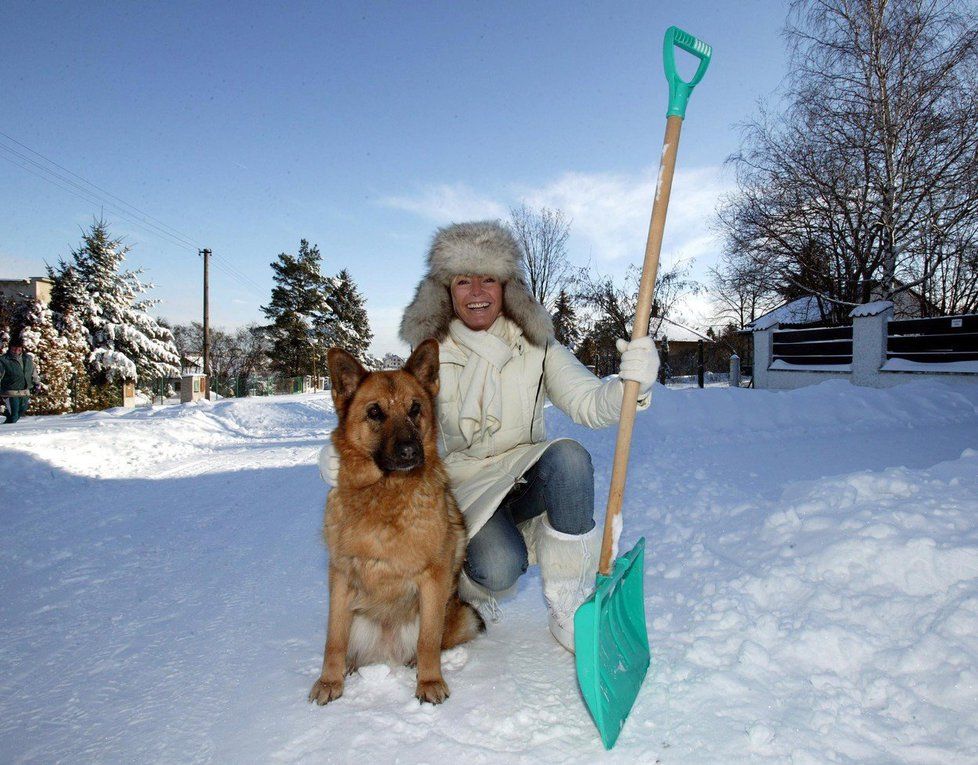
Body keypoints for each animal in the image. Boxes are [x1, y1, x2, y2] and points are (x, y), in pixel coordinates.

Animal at [308, 340, 484, 704]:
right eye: (375, 412)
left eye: (415, 409)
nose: (409, 452)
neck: (386, 495)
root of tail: (387, 653)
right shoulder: (341, 576)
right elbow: (333, 638)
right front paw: (330, 681)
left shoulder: (433, 580)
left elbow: (428, 640)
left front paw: (429, 682)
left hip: (459, 614)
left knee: (430, 642)